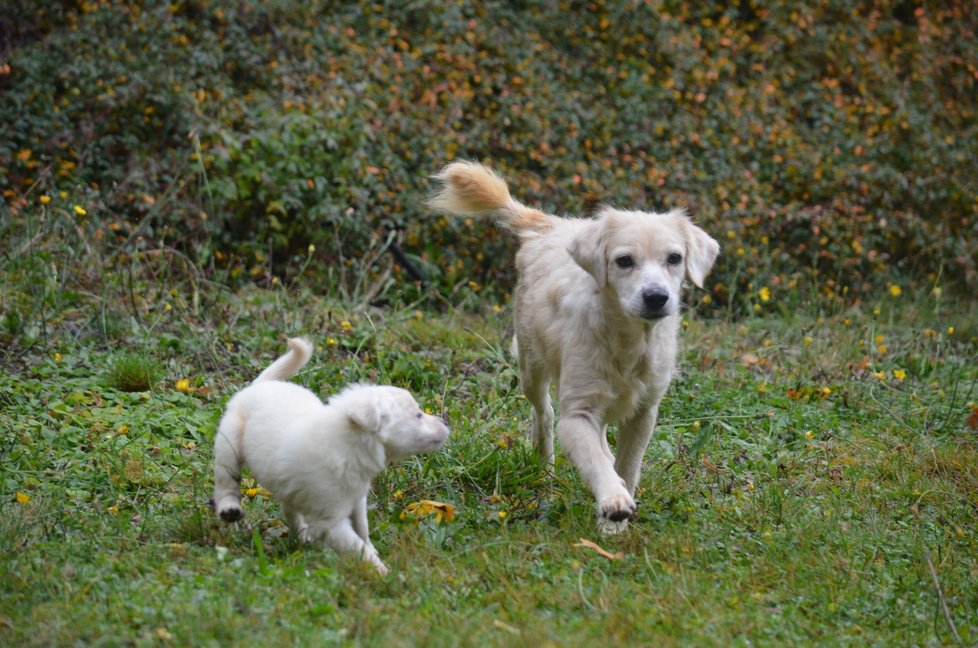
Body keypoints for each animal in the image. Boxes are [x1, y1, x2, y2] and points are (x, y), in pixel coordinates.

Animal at [214, 340, 450, 572]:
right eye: (417, 415)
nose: (445, 421)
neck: (348, 446)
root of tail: (259, 385)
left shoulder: (357, 500)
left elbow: (363, 530)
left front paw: (374, 553)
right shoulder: (331, 522)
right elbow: (358, 547)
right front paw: (383, 571)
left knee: (290, 510)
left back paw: (303, 539)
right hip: (229, 444)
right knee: (227, 483)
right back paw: (230, 509)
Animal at [430, 162, 720, 532]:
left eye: (674, 258)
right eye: (624, 260)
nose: (656, 297)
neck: (628, 342)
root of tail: (550, 225)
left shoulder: (644, 411)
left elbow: (627, 465)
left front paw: (616, 521)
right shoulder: (577, 414)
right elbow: (594, 460)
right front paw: (613, 504)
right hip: (530, 367)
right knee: (544, 413)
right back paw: (544, 461)